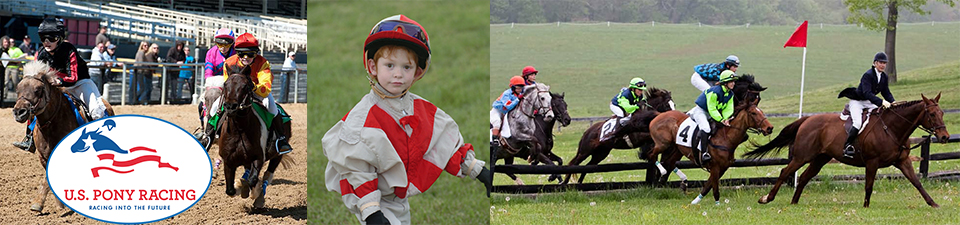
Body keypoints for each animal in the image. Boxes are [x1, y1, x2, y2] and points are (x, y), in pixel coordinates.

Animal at [218, 70, 292, 207]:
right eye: (225, 84)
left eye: (245, 86)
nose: (230, 106)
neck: (240, 130)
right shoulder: (228, 161)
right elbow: (230, 190)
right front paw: (240, 186)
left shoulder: (259, 157)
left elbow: (253, 180)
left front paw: (253, 193)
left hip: (277, 156)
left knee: (268, 175)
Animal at [644, 103, 772, 205]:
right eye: (753, 113)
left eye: (761, 111)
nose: (769, 128)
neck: (725, 137)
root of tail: (659, 115)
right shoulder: (715, 167)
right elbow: (714, 187)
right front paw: (717, 204)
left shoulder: (723, 168)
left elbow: (708, 186)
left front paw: (695, 201)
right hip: (663, 144)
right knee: (651, 155)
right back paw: (663, 171)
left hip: (677, 149)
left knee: (669, 163)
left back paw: (682, 180)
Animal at [744, 93, 944, 207]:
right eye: (931, 114)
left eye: (942, 113)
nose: (944, 137)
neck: (892, 128)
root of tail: (807, 119)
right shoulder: (872, 162)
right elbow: (869, 186)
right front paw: (865, 207)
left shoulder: (902, 161)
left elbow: (917, 182)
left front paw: (933, 204)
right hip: (802, 156)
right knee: (785, 172)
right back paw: (767, 199)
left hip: (820, 159)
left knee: (804, 177)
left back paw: (794, 202)